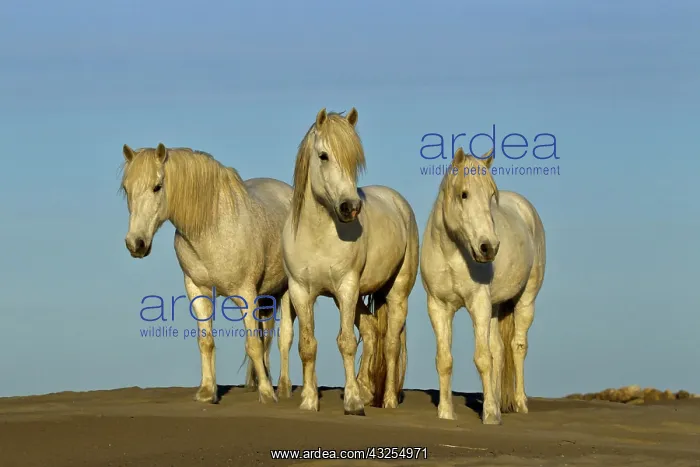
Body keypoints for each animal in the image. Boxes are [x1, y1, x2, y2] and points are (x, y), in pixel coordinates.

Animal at [119, 143, 293, 405]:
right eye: (126, 189)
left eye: (157, 186)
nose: (135, 244)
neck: (213, 228)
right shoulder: (197, 290)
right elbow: (206, 341)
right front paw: (207, 392)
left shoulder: (245, 292)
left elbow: (253, 343)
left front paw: (266, 393)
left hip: (288, 292)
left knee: (285, 339)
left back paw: (282, 388)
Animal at [278, 108, 419, 416]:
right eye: (323, 156)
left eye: (354, 160)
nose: (350, 207)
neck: (318, 235)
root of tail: (398, 202)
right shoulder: (300, 291)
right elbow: (308, 345)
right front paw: (309, 401)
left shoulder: (346, 287)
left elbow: (345, 343)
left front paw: (353, 402)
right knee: (370, 331)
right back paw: (367, 390)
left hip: (395, 293)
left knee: (391, 344)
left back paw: (388, 399)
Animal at [419, 147, 546, 425]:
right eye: (463, 194)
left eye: (490, 196)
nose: (489, 247)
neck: (452, 254)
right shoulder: (438, 306)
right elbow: (445, 359)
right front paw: (446, 412)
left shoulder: (478, 303)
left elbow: (482, 358)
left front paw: (489, 415)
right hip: (495, 306)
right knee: (499, 350)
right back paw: (498, 401)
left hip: (525, 300)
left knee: (517, 347)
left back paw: (519, 403)